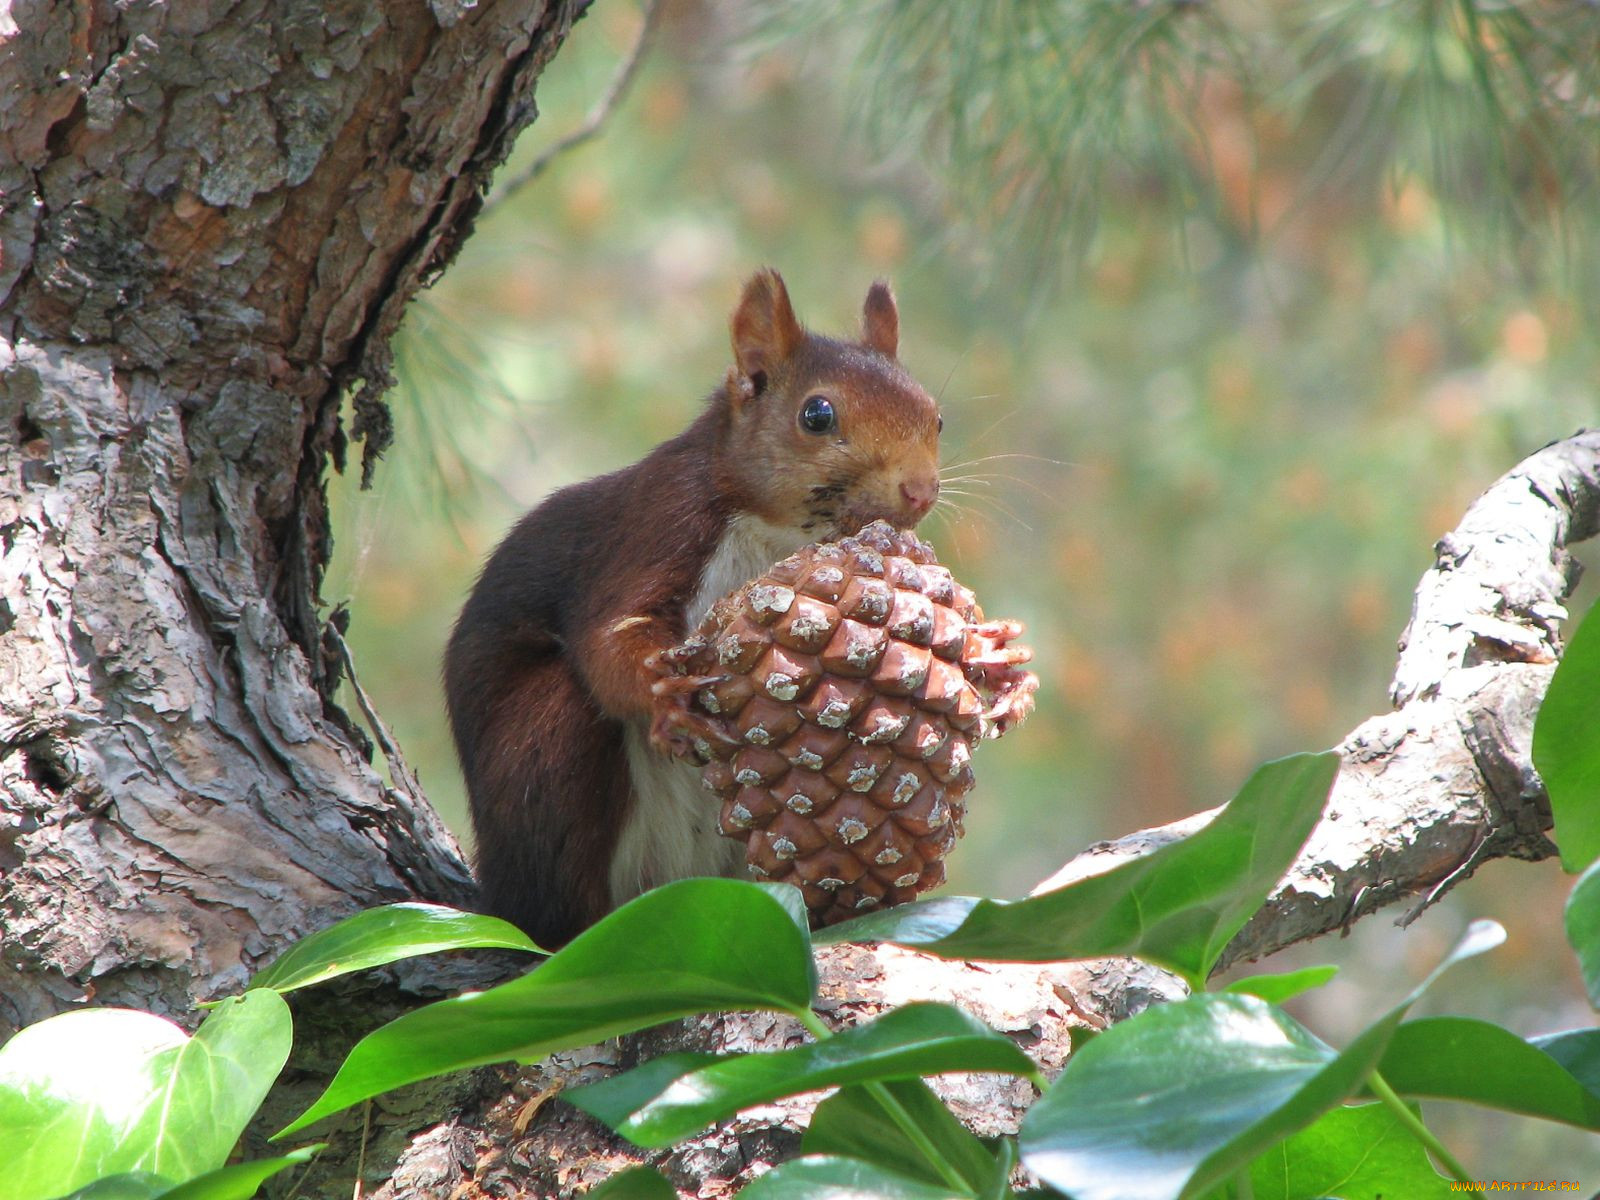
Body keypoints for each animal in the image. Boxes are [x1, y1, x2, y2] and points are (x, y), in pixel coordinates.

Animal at [444, 270, 940, 947]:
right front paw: (665, 695)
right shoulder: (655, 522)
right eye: (816, 415)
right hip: (542, 753)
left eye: (937, 416)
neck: (780, 533)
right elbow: (607, 634)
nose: (920, 490)